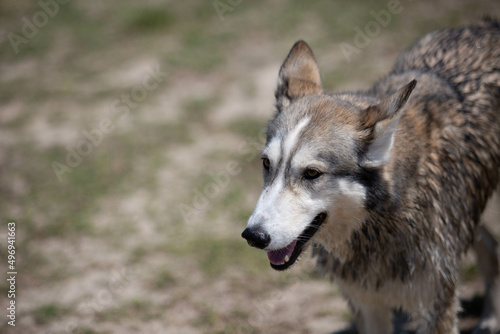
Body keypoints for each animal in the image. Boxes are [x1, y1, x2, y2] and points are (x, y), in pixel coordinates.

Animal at [242, 19, 500, 332]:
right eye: (267, 163)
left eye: (312, 173)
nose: (253, 236)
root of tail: (486, 25)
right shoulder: (365, 304)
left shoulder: (436, 309)